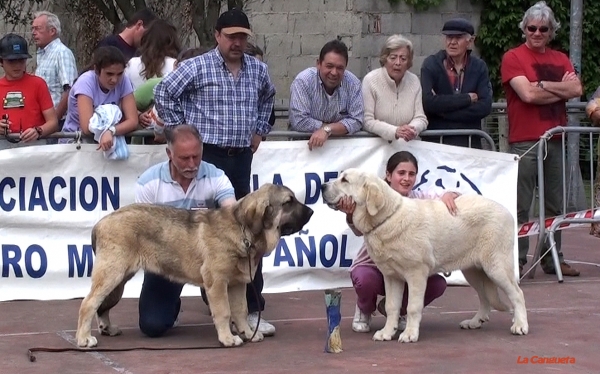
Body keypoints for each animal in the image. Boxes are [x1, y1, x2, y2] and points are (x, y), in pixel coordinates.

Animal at [322, 168, 528, 344]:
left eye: (345, 180)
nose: (323, 186)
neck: (387, 217)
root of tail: (506, 211)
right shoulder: (391, 277)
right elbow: (392, 307)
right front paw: (387, 333)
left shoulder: (416, 274)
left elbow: (413, 307)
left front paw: (409, 334)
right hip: (473, 272)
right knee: (485, 298)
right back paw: (475, 322)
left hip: (496, 267)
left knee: (517, 294)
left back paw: (520, 325)